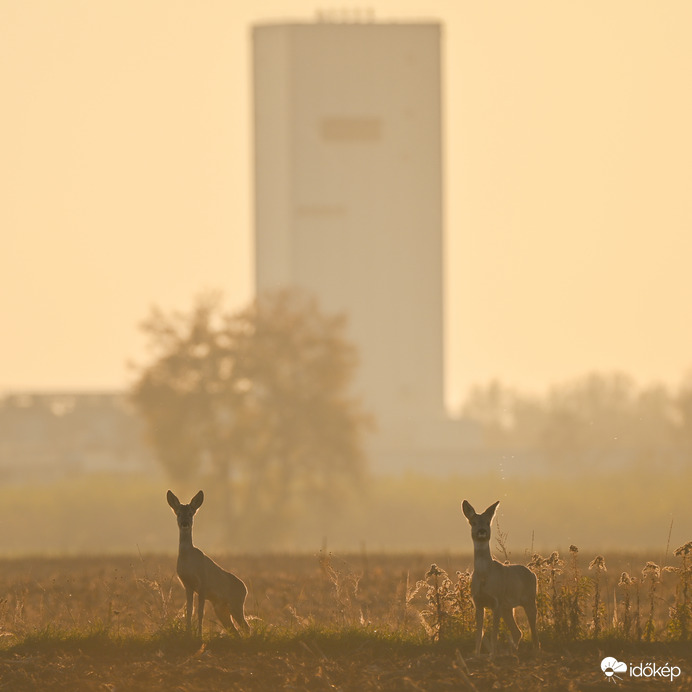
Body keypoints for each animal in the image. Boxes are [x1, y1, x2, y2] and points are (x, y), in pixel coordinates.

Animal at [166, 490, 250, 636]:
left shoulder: (203, 584)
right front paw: (188, 634)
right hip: (221, 608)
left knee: (247, 627)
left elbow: (201, 613)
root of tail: (245, 589)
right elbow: (189, 612)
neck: (188, 559)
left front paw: (199, 636)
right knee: (235, 630)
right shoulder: (187, 585)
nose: (185, 523)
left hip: (236, 604)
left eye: (191, 513)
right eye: (178, 513)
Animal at [462, 502, 544, 656]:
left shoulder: (497, 601)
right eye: (473, 522)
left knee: (534, 633)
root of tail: (533, 574)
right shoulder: (478, 603)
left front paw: (492, 655)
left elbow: (494, 633)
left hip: (529, 600)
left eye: (487, 522)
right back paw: (512, 652)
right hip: (508, 607)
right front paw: (476, 655)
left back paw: (535, 652)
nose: (482, 531)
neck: (484, 575)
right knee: (518, 632)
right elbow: (479, 633)